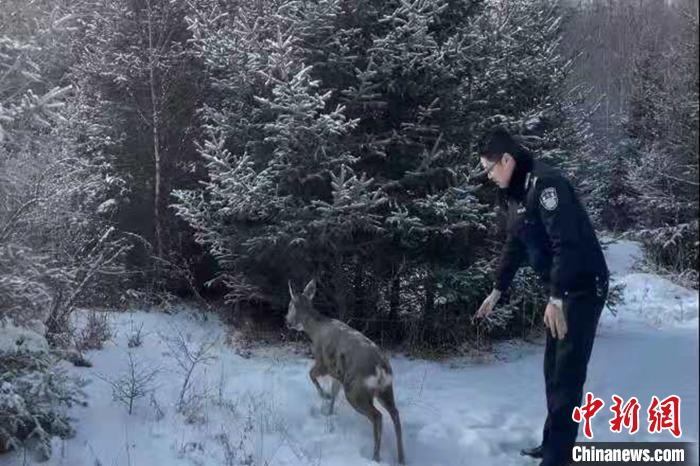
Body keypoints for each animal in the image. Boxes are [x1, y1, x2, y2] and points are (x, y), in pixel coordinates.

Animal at [284, 278, 404, 464]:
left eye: (290, 305)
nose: (286, 321)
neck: (315, 330)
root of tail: (380, 368)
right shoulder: (337, 374)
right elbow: (334, 392)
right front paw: (329, 413)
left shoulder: (323, 362)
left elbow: (311, 375)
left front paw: (324, 396)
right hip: (385, 388)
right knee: (395, 414)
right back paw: (401, 458)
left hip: (355, 390)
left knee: (377, 416)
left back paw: (375, 457)